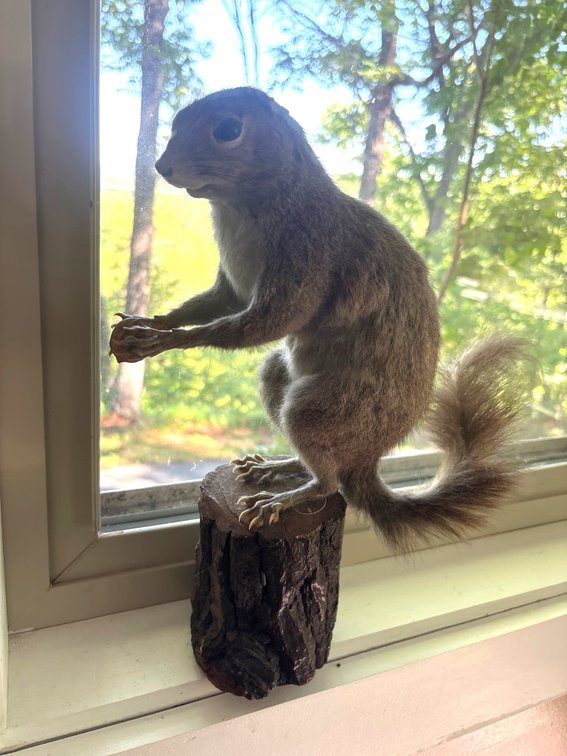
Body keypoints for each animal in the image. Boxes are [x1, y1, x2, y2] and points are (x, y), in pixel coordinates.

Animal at [110, 86, 530, 550]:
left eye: (229, 129)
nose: (162, 166)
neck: (240, 205)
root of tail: (368, 457)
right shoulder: (232, 284)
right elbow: (215, 303)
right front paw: (151, 324)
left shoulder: (308, 252)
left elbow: (268, 320)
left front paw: (161, 341)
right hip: (282, 380)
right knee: (317, 459)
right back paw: (276, 467)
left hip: (325, 409)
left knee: (329, 481)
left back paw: (284, 499)